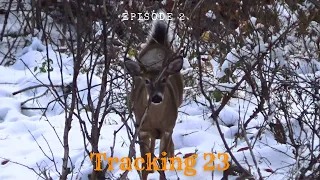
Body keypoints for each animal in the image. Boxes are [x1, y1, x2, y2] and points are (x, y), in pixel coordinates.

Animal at [125, 17, 184, 179]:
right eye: (146, 80)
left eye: (164, 79)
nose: (156, 98)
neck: (156, 119)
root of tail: (157, 41)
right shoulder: (141, 129)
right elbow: (144, 164)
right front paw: (148, 170)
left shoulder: (167, 129)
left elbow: (162, 161)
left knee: (169, 146)